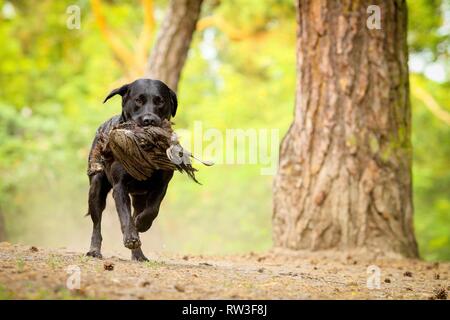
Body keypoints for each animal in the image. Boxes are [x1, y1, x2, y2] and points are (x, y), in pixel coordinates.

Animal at [85, 79, 177, 262]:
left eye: (160, 101)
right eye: (138, 100)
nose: (149, 120)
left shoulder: (161, 185)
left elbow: (152, 210)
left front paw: (141, 224)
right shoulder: (119, 186)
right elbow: (125, 215)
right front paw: (130, 238)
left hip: (138, 197)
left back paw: (139, 254)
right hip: (96, 188)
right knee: (97, 224)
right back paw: (94, 250)